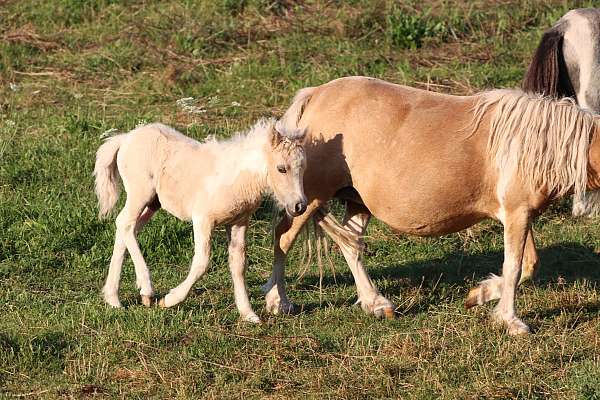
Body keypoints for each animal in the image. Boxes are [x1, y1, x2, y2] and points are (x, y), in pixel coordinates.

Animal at [95, 119, 310, 322]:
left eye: (303, 168)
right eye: (281, 169)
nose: (299, 206)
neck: (235, 177)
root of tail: (125, 138)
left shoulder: (239, 222)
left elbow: (238, 264)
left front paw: (248, 313)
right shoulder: (203, 219)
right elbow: (202, 262)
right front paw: (170, 300)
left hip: (153, 202)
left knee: (125, 228)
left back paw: (113, 298)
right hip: (140, 192)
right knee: (125, 223)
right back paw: (146, 289)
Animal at [264, 76, 600, 332]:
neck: (536, 143)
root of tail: (315, 95)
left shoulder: (520, 214)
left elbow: (528, 265)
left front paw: (478, 295)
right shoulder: (516, 213)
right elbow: (515, 267)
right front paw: (511, 322)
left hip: (357, 202)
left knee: (351, 244)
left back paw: (376, 303)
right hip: (308, 200)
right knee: (284, 237)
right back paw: (277, 301)